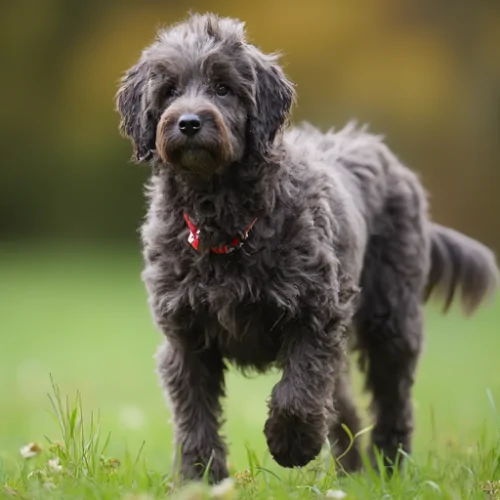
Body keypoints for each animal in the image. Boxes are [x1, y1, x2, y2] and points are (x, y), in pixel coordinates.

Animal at [116, 10, 496, 480]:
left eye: (223, 87)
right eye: (168, 90)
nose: (188, 122)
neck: (222, 219)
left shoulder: (316, 312)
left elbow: (298, 391)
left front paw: (292, 445)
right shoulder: (185, 337)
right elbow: (195, 414)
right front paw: (201, 479)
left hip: (392, 319)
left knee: (392, 398)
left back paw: (389, 466)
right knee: (345, 407)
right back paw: (352, 473)